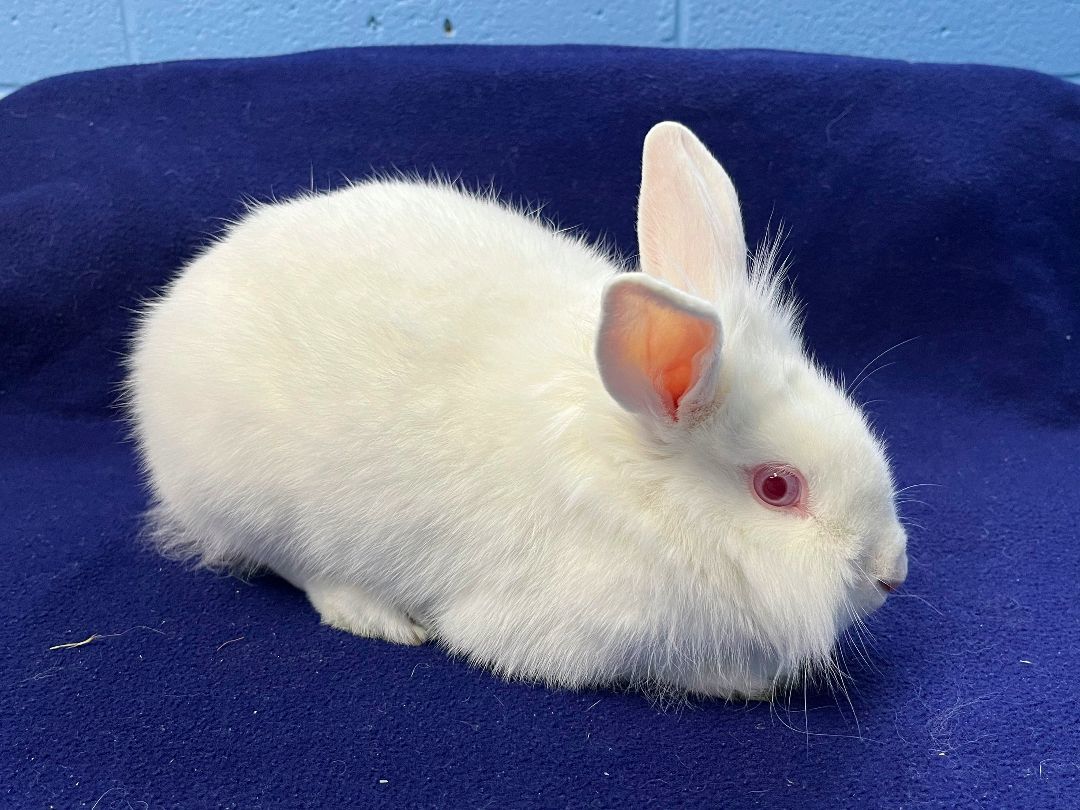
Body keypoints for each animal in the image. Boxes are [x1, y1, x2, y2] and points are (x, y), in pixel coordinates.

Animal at [125, 121, 908, 699]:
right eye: (777, 488)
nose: (891, 574)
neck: (638, 484)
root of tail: (167, 320)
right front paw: (748, 681)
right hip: (257, 502)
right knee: (296, 565)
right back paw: (378, 616)